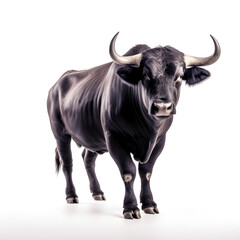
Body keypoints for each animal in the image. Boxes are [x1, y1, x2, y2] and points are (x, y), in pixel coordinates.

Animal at [46, 32, 220, 219]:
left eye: (180, 77)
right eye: (146, 75)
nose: (162, 107)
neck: (147, 129)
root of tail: (56, 85)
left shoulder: (160, 141)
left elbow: (146, 171)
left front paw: (149, 203)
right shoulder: (114, 139)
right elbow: (129, 172)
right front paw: (130, 207)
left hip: (92, 137)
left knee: (88, 159)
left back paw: (97, 192)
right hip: (60, 134)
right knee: (67, 162)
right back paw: (71, 195)